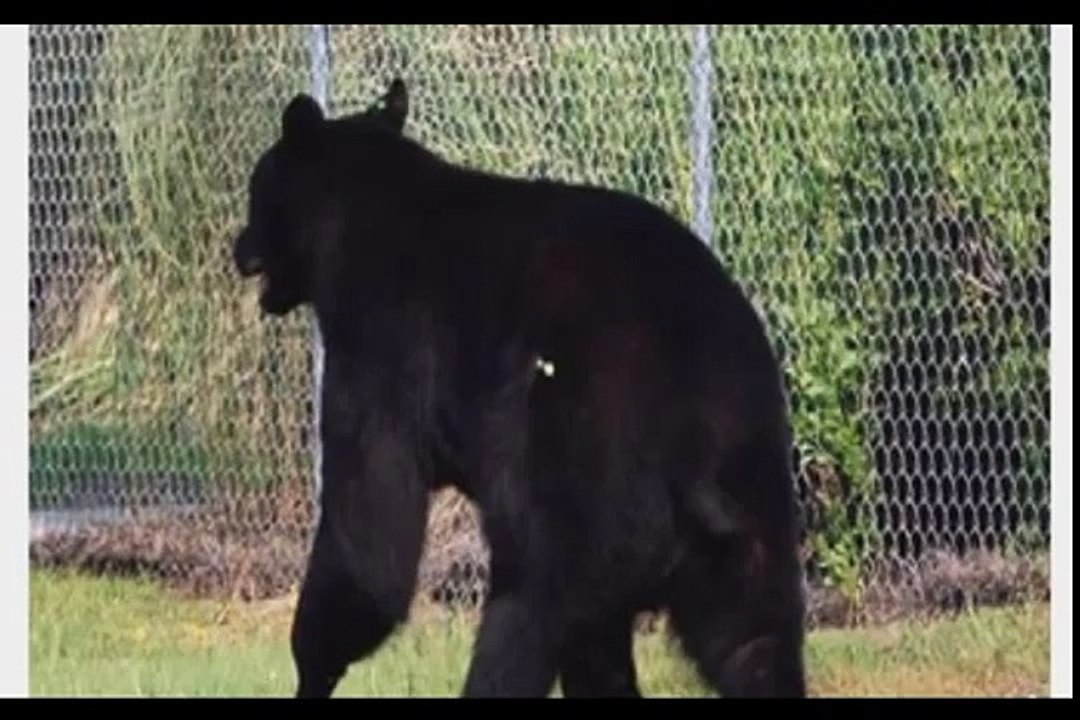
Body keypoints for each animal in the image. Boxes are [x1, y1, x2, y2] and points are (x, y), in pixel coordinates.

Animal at [231, 77, 808, 698]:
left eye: (256, 189)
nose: (238, 245)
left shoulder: (381, 346)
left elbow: (371, 526)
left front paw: (312, 665)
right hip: (750, 504)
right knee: (752, 641)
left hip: (582, 471)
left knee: (528, 613)